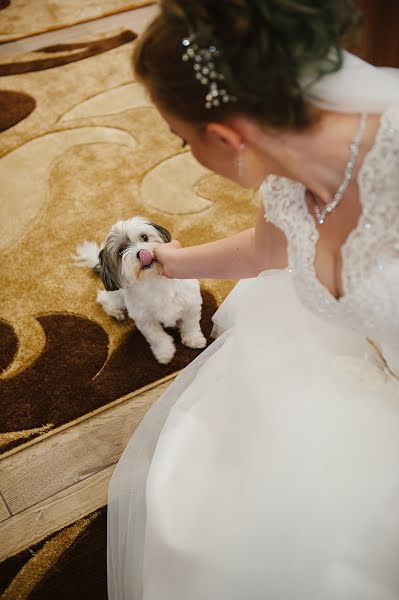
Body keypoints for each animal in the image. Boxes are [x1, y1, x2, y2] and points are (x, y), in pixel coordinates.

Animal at [74, 217, 208, 366]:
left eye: (144, 237)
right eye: (121, 251)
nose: (141, 253)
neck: (154, 281)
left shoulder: (191, 303)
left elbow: (191, 324)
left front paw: (193, 339)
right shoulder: (145, 320)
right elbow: (157, 337)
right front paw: (164, 352)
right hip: (117, 297)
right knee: (103, 299)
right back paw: (116, 313)